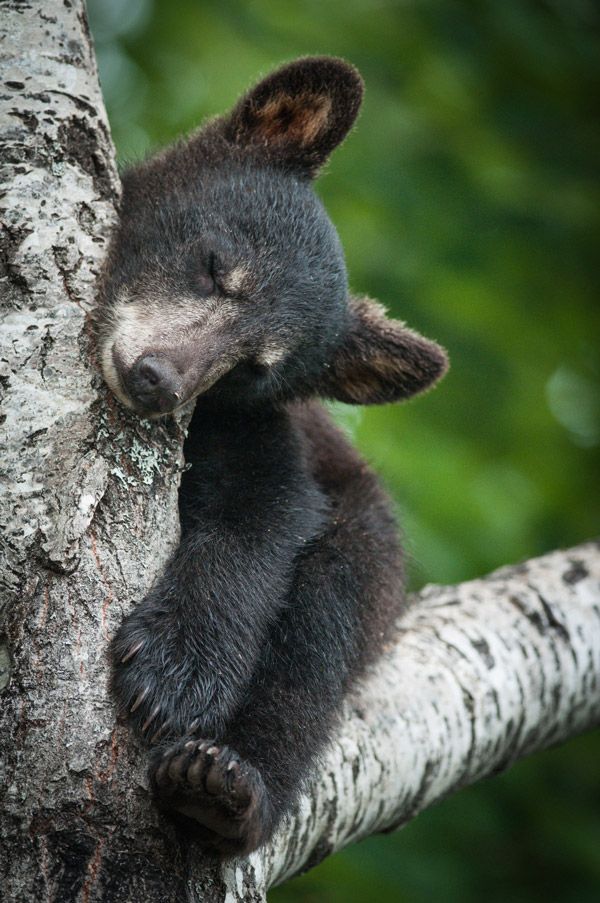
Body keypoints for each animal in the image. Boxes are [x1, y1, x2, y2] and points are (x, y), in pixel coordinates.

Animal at [95, 56, 448, 858]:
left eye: (254, 366)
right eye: (215, 265)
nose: (157, 378)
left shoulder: (253, 426)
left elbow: (266, 509)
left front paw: (175, 669)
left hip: (366, 546)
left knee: (318, 643)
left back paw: (221, 787)